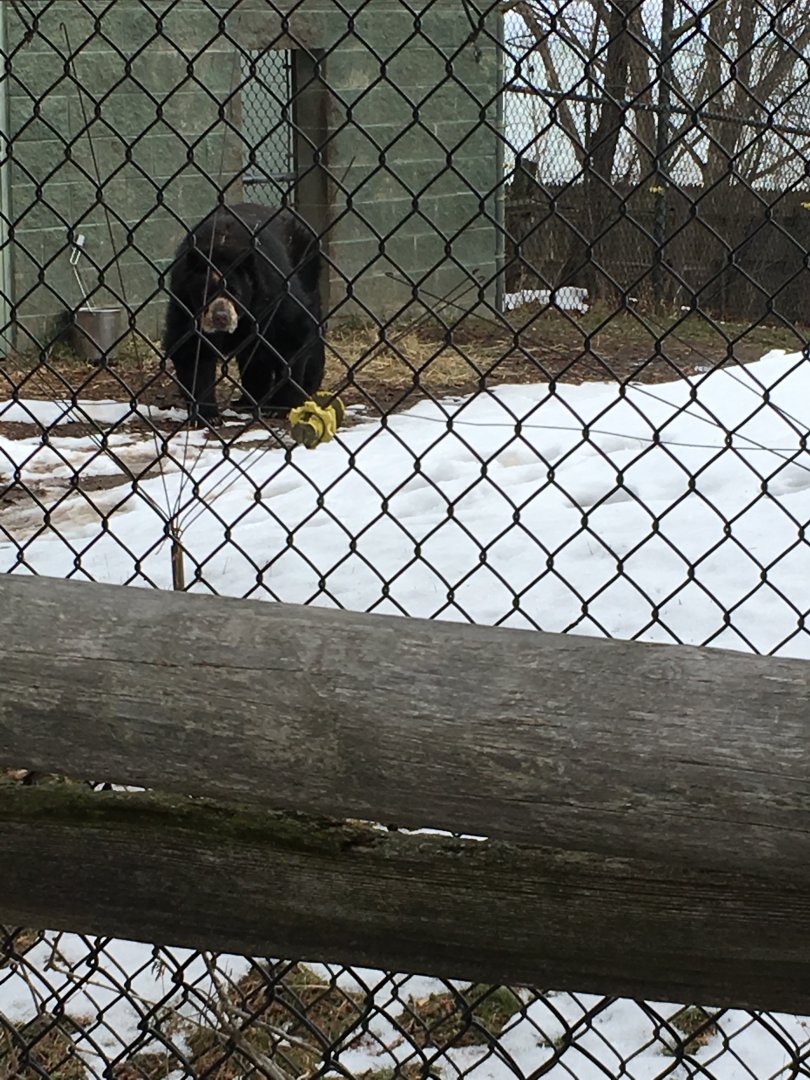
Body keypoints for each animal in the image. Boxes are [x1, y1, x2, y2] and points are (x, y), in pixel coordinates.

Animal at [163, 202, 325, 425]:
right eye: (205, 293)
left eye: (236, 292)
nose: (220, 317)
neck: (222, 243)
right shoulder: (184, 302)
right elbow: (190, 350)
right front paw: (207, 415)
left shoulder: (273, 293)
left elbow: (291, 334)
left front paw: (279, 407)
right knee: (255, 358)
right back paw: (248, 400)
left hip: (306, 269)